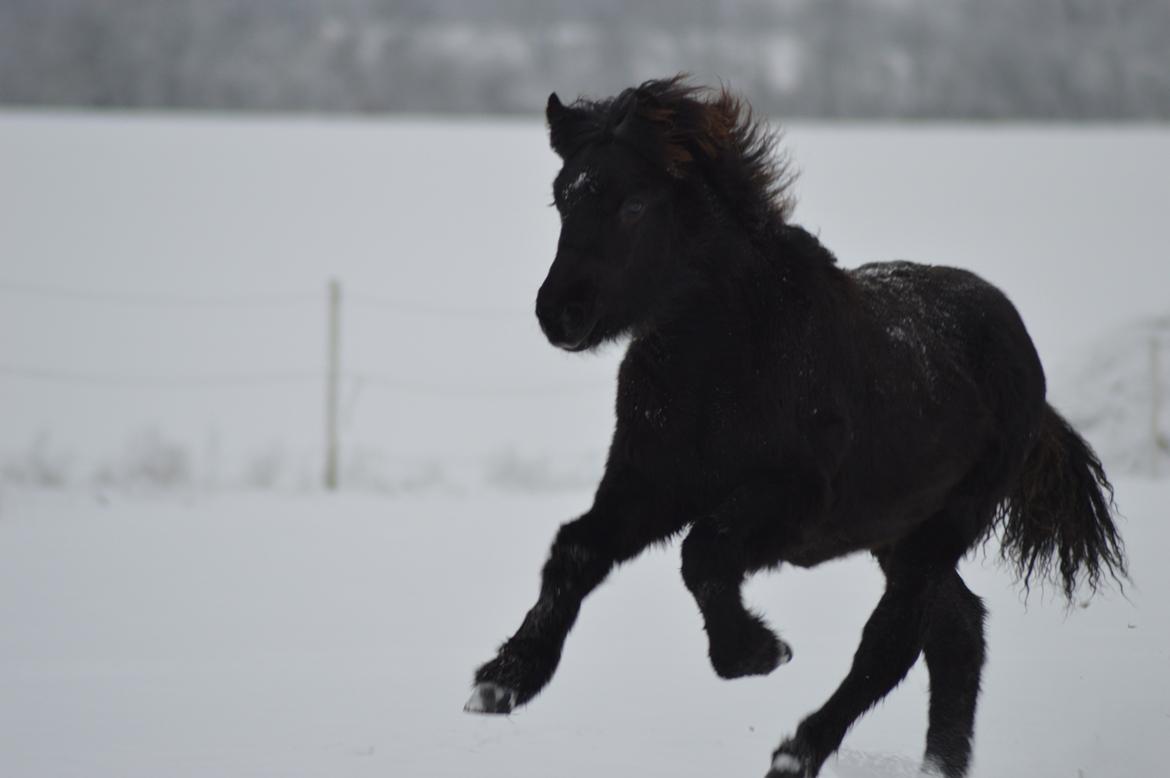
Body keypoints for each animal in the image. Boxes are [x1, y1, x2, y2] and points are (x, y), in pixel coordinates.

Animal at [463, 77, 1123, 776]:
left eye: (635, 205)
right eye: (563, 198)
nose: (559, 313)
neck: (722, 363)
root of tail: (1016, 342)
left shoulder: (793, 501)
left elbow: (703, 552)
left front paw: (755, 651)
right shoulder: (647, 486)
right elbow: (576, 551)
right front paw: (505, 680)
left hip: (945, 525)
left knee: (894, 640)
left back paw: (799, 750)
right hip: (898, 531)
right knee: (955, 631)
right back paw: (931, 763)